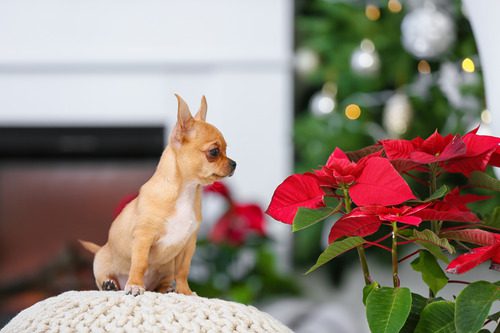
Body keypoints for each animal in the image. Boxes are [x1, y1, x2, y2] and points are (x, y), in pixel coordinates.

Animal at [81, 94, 237, 294]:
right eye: (214, 152)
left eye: (226, 150)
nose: (234, 164)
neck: (185, 191)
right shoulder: (143, 237)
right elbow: (139, 264)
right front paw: (135, 285)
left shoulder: (188, 244)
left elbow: (183, 271)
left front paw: (185, 292)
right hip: (101, 264)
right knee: (104, 279)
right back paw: (111, 285)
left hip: (166, 268)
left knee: (163, 282)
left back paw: (167, 289)